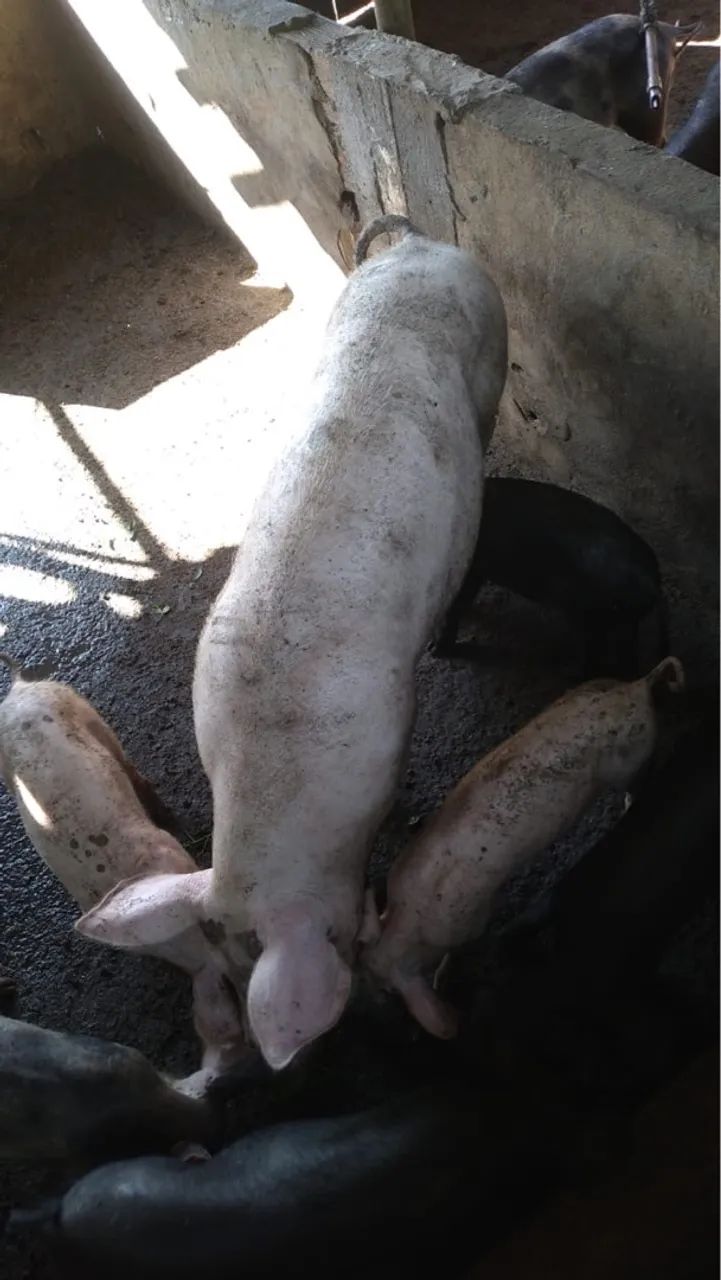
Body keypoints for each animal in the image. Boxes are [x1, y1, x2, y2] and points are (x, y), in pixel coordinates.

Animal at [363, 657, 685, 1038]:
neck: (412, 918)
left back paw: (628, 805)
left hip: (634, 756)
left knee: (638, 781)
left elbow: (466, 946)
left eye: (389, 990)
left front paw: (443, 980)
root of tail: (635, 689)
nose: (373, 1004)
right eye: (362, 965)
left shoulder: (475, 917)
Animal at [432, 477, 667, 677]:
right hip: (624, 620)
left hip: (593, 615)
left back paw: (572, 676)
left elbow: (457, 605)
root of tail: (651, 580)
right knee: (626, 660)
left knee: (597, 657)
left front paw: (435, 651)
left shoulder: (470, 567)